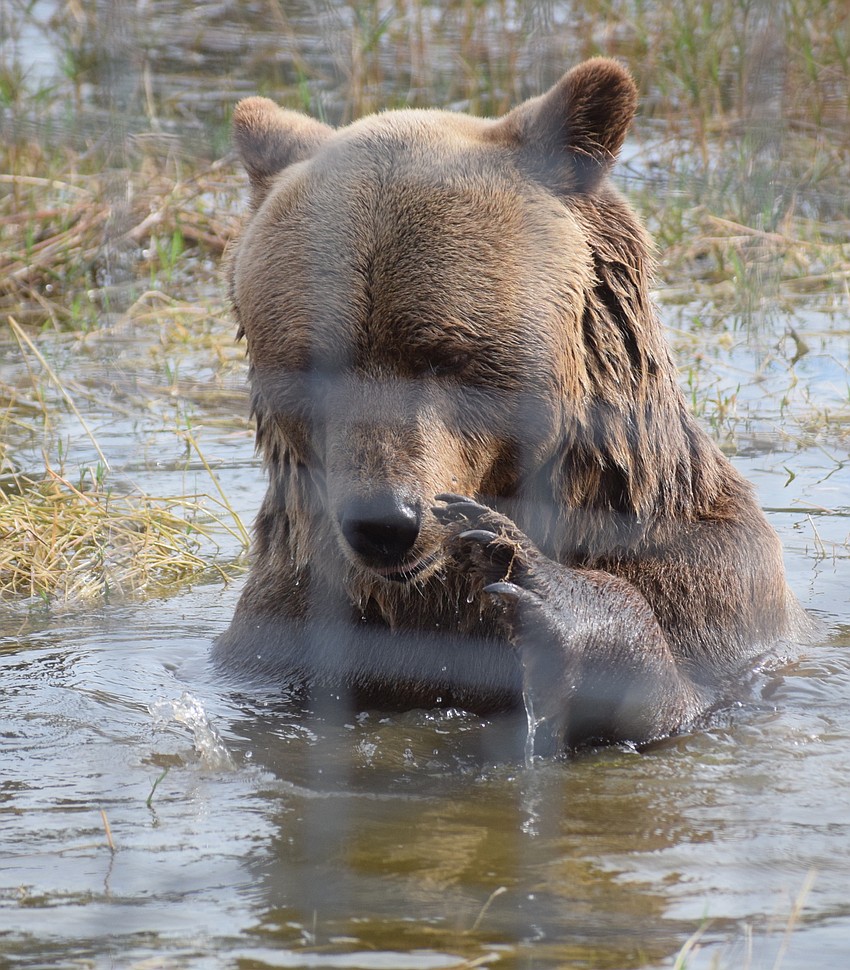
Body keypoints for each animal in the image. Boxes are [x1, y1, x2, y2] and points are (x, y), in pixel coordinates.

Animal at [213, 58, 809, 754]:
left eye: (444, 355)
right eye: (316, 366)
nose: (384, 522)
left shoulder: (717, 602)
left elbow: (677, 677)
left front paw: (530, 576)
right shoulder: (288, 632)